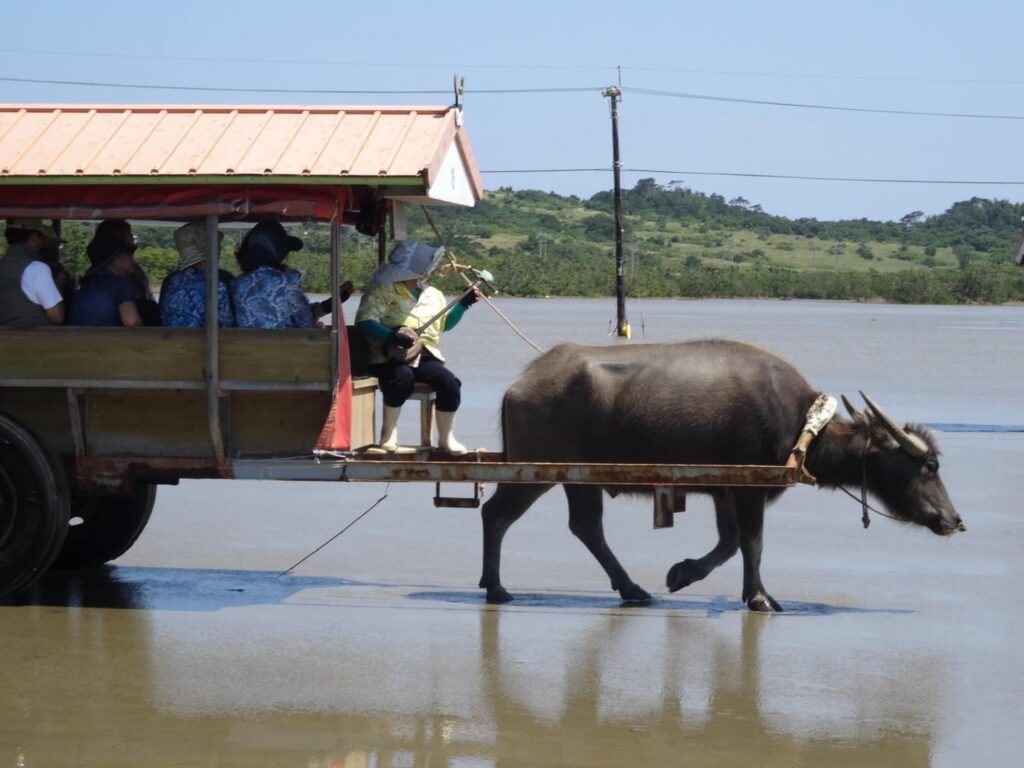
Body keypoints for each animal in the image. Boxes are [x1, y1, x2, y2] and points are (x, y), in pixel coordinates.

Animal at [479, 342, 958, 614]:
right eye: (929, 467)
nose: (953, 520)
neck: (801, 426)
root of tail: (520, 383)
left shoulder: (726, 490)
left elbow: (730, 544)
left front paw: (683, 573)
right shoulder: (749, 489)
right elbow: (753, 544)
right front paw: (761, 598)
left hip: (578, 478)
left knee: (583, 526)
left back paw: (630, 589)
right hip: (538, 471)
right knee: (497, 515)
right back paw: (497, 588)